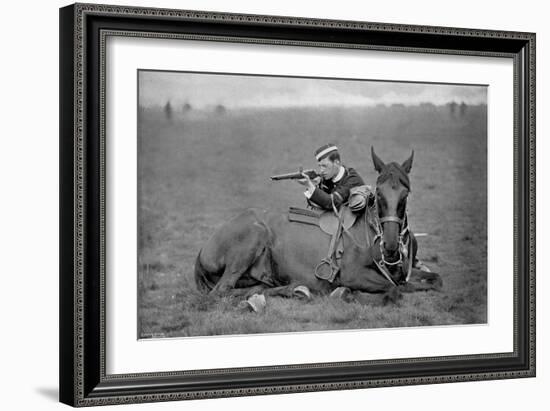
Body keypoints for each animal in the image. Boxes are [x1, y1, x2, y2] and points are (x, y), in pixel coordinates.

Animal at [194, 148, 444, 302]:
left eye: (405, 194)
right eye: (379, 193)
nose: (391, 246)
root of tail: (203, 249)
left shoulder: (404, 274)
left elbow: (433, 280)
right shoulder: (353, 275)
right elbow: (393, 290)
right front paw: (347, 294)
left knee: (255, 288)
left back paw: (294, 289)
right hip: (254, 235)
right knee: (221, 292)